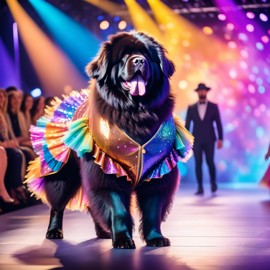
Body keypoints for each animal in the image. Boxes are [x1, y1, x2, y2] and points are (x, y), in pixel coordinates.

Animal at [26, 31, 192, 249]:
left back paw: (103, 231)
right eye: (124, 56)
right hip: (64, 174)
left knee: (92, 205)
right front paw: (122, 239)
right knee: (57, 204)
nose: (139, 60)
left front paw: (155, 238)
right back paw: (54, 231)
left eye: (147, 55)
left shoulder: (158, 172)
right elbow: (118, 209)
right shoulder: (106, 173)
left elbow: (152, 210)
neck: (136, 113)